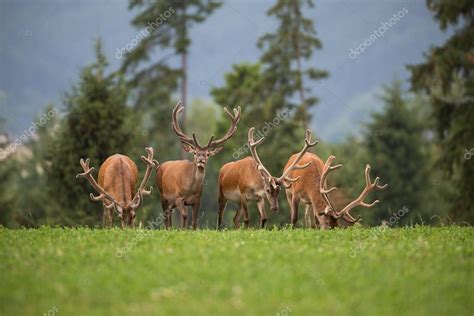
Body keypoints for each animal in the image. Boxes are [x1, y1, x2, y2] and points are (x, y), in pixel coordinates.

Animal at [156, 101, 241, 230]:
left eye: (207, 154)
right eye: (195, 152)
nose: (201, 159)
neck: (191, 188)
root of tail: (159, 167)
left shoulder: (197, 200)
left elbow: (195, 220)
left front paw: (192, 230)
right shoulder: (178, 198)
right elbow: (185, 215)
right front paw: (183, 229)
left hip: (170, 202)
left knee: (169, 214)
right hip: (162, 194)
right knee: (165, 214)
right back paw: (168, 228)